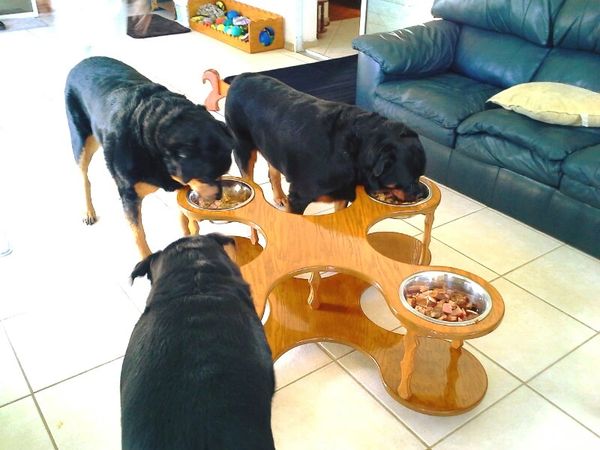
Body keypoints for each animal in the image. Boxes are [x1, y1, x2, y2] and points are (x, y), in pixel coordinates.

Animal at [64, 57, 233, 256]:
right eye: (207, 176)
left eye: (224, 173)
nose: (219, 197)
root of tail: (82, 62)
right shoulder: (130, 195)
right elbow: (139, 235)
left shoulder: (182, 184)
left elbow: (185, 218)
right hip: (81, 139)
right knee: (84, 176)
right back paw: (89, 211)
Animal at [225, 71, 426, 214]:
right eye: (411, 179)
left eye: (420, 175)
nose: (421, 194)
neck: (352, 153)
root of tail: (239, 78)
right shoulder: (298, 197)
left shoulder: (342, 195)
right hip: (243, 148)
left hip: (271, 144)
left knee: (273, 170)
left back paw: (279, 196)